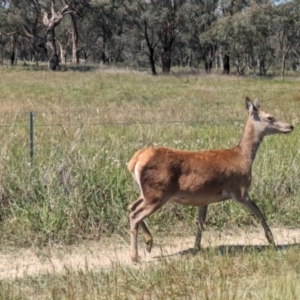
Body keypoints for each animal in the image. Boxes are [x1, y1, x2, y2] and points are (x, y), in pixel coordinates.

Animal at [127, 97, 294, 262]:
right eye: (270, 117)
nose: (291, 126)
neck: (243, 156)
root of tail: (135, 161)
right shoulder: (239, 190)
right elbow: (259, 212)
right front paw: (271, 241)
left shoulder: (203, 199)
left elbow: (200, 223)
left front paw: (196, 247)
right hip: (158, 192)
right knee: (135, 215)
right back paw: (135, 256)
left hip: (147, 193)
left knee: (131, 207)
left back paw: (148, 242)